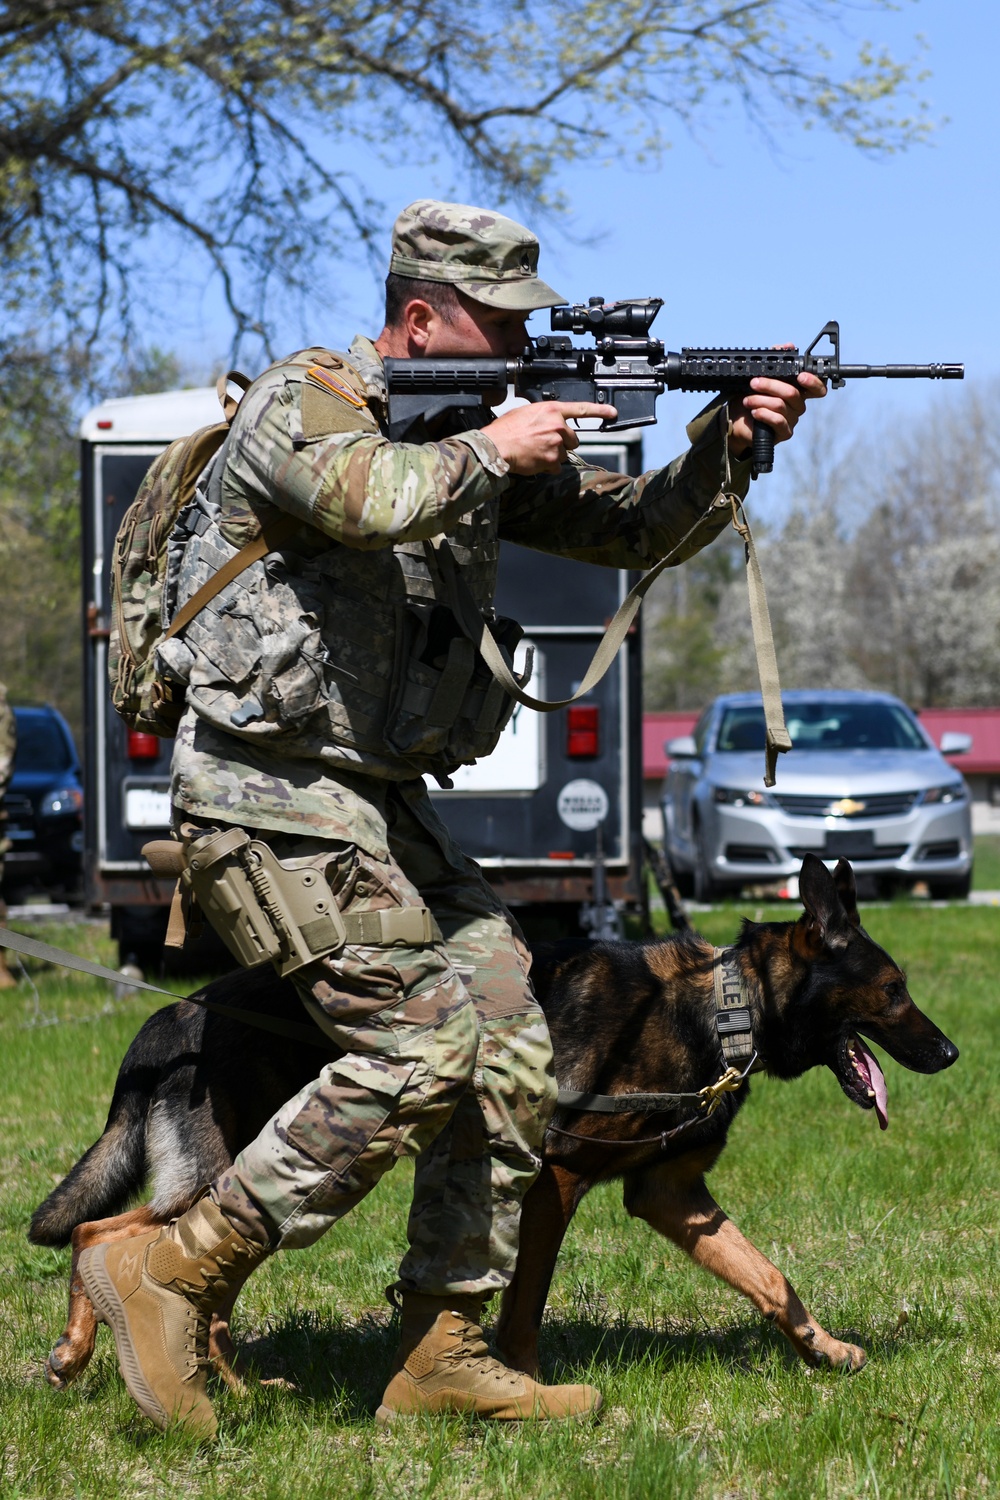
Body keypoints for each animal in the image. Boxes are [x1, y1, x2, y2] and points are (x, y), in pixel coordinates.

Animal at [27, 858, 959, 1392]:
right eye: (896, 989)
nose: (952, 1053)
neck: (724, 1008)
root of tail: (174, 1015)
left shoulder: (670, 1194)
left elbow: (769, 1278)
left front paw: (825, 1351)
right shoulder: (557, 1183)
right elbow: (526, 1302)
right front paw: (525, 1382)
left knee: (172, 1265)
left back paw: (204, 1378)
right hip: (277, 1166)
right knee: (110, 1238)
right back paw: (108, 1356)